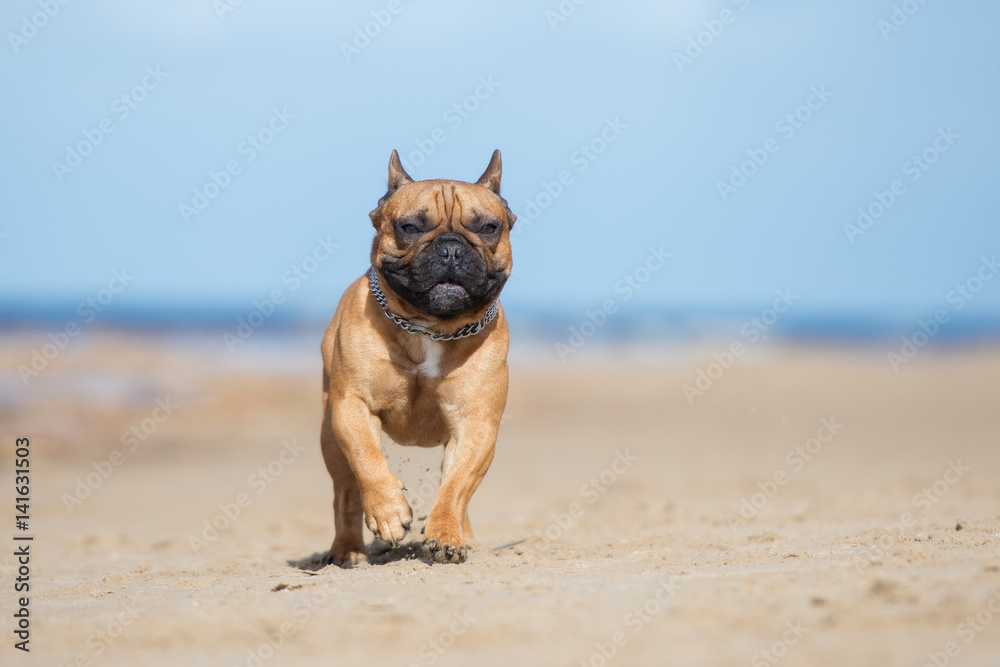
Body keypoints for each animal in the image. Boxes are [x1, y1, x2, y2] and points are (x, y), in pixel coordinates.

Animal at [320, 150, 516, 564]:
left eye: (489, 227)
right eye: (409, 227)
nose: (451, 248)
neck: (431, 327)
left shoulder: (476, 425)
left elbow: (457, 485)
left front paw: (445, 535)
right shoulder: (352, 405)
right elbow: (367, 458)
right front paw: (389, 512)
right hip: (329, 434)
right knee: (345, 493)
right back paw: (347, 550)